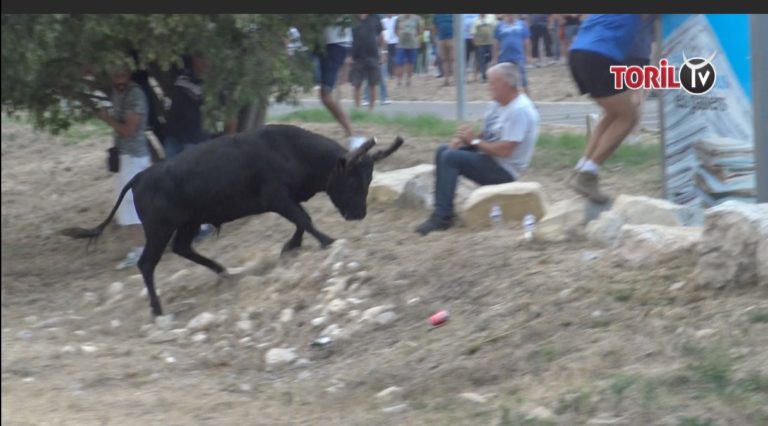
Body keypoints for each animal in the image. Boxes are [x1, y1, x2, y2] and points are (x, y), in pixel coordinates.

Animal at [61, 123, 402, 316]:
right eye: (354, 181)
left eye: (369, 180)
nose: (358, 215)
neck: (292, 150)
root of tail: (140, 177)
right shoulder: (276, 199)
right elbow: (304, 219)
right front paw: (327, 241)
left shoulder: (284, 201)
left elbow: (300, 222)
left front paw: (290, 248)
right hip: (159, 230)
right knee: (147, 263)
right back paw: (157, 309)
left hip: (187, 223)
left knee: (182, 248)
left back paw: (223, 271)